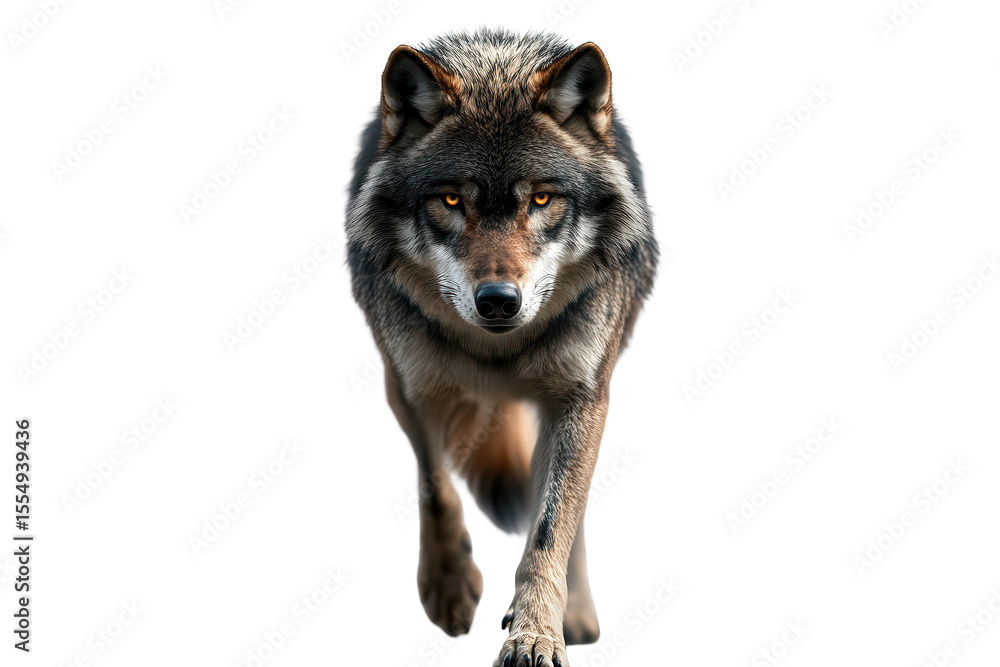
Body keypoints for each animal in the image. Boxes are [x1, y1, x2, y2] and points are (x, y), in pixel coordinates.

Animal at [345, 29, 657, 667]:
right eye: (450, 201)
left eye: (540, 200)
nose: (497, 301)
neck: (498, 355)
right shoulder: (409, 386)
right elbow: (435, 486)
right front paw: (447, 587)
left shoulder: (582, 397)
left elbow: (551, 526)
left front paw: (536, 634)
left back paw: (574, 612)